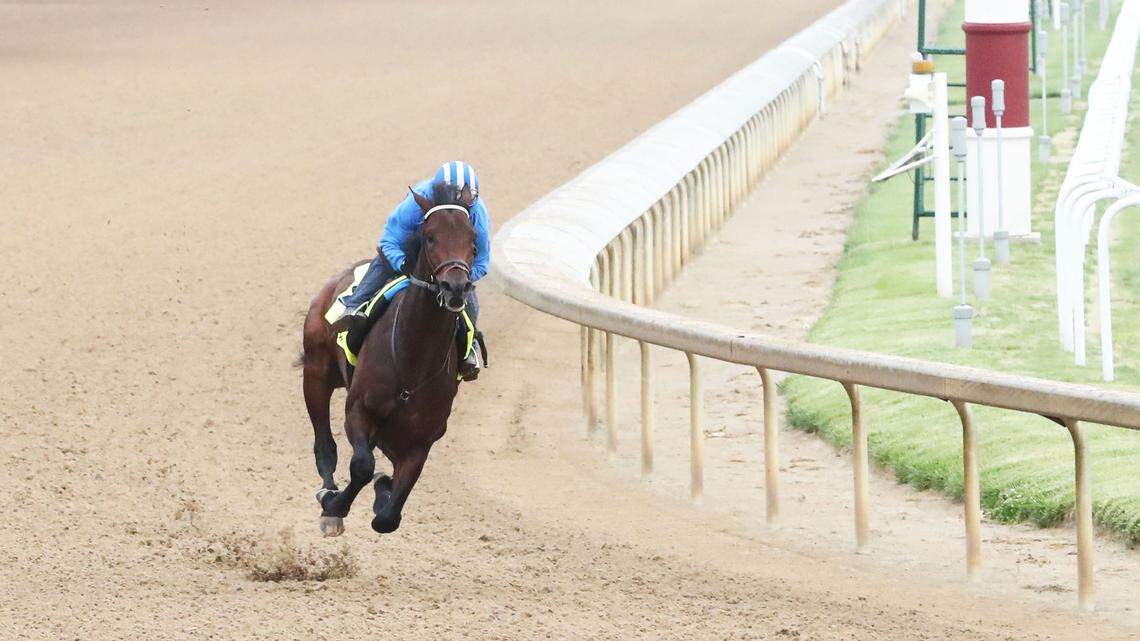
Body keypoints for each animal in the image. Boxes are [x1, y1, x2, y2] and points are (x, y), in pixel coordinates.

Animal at [299, 185, 476, 536]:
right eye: (430, 237)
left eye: (473, 237)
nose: (456, 287)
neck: (413, 360)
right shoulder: (358, 410)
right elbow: (362, 467)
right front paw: (335, 506)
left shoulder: (420, 441)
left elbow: (388, 517)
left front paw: (383, 492)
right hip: (316, 373)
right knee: (324, 442)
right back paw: (328, 493)